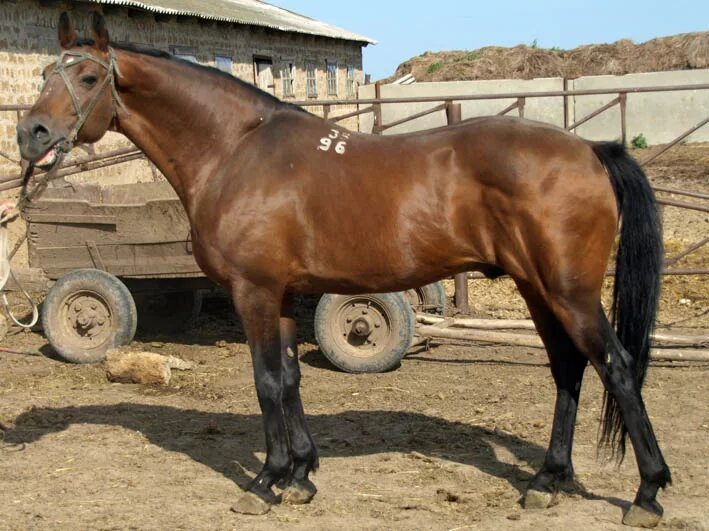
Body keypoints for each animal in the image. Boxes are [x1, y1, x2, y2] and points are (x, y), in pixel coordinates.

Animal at [15, 12, 668, 528]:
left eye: (88, 77)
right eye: (45, 73)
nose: (30, 134)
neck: (235, 150)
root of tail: (590, 151)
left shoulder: (254, 292)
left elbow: (267, 381)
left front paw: (266, 482)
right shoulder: (280, 294)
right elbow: (290, 380)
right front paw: (301, 476)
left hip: (569, 292)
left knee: (616, 367)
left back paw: (647, 493)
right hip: (539, 290)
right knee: (568, 369)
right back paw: (547, 481)